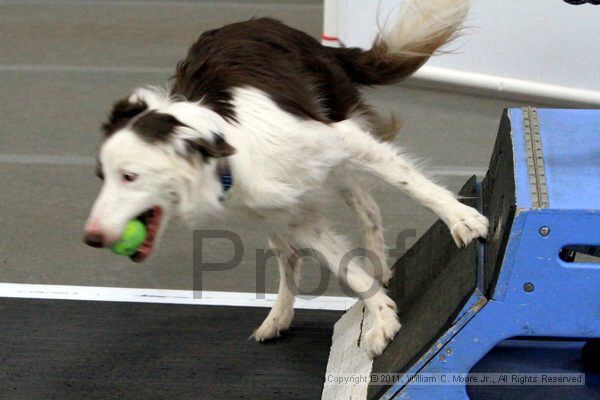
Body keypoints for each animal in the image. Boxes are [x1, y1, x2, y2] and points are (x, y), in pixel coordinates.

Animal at [85, 0, 488, 356]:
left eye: (129, 176)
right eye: (101, 176)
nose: (91, 237)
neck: (230, 152)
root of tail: (266, 23)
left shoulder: (341, 138)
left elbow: (413, 184)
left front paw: (463, 221)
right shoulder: (297, 219)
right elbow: (347, 268)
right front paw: (382, 318)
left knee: (365, 204)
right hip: (282, 210)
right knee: (317, 238)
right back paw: (284, 312)